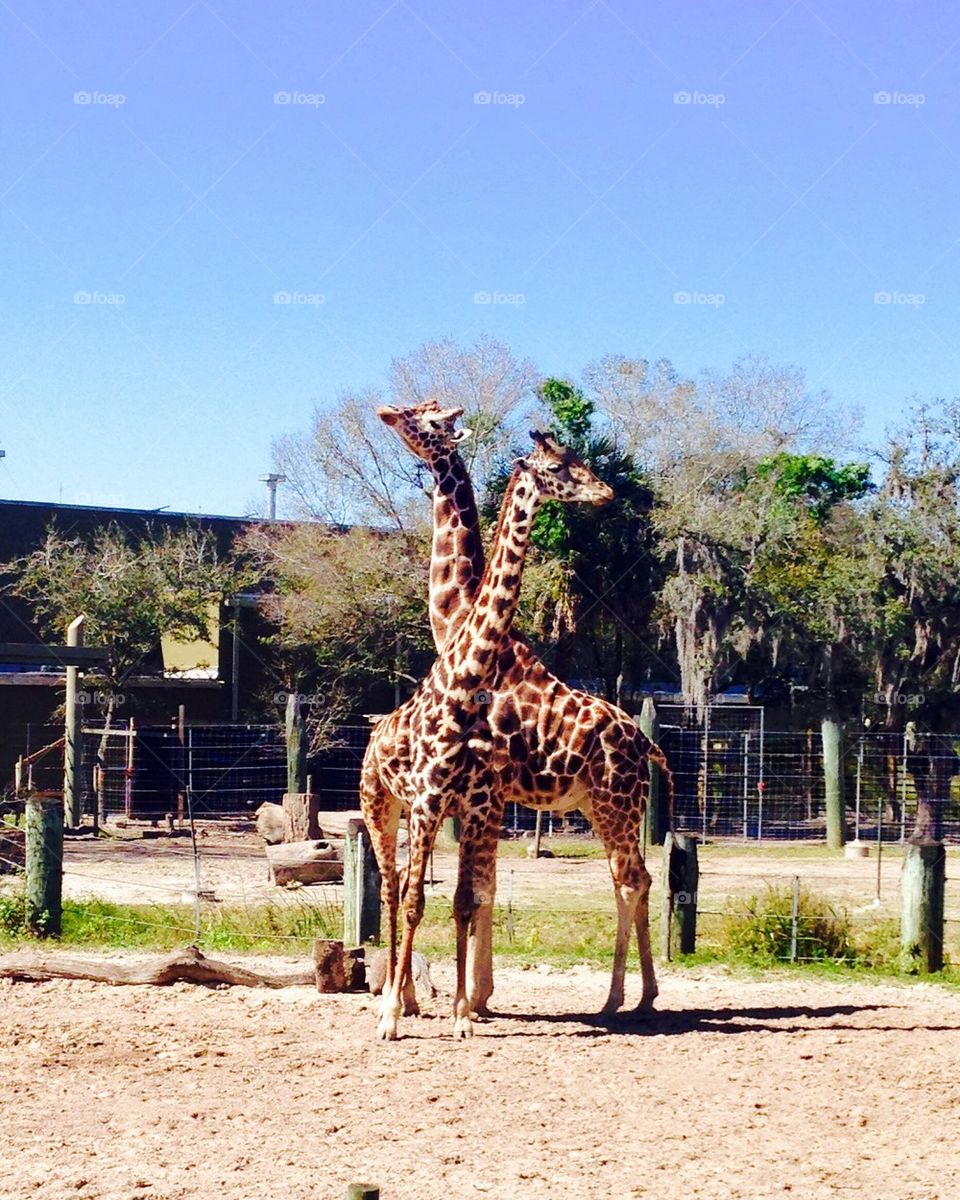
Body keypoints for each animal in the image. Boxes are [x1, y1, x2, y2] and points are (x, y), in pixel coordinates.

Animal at [376, 401, 672, 1018]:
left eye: (427, 417)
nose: (387, 412)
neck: (454, 614)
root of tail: (647, 744)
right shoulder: (490, 795)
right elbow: (480, 887)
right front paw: (473, 996)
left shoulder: (487, 790)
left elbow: (478, 888)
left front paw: (468, 998)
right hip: (600, 807)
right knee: (636, 878)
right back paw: (643, 995)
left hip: (614, 805)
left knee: (630, 878)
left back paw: (618, 999)